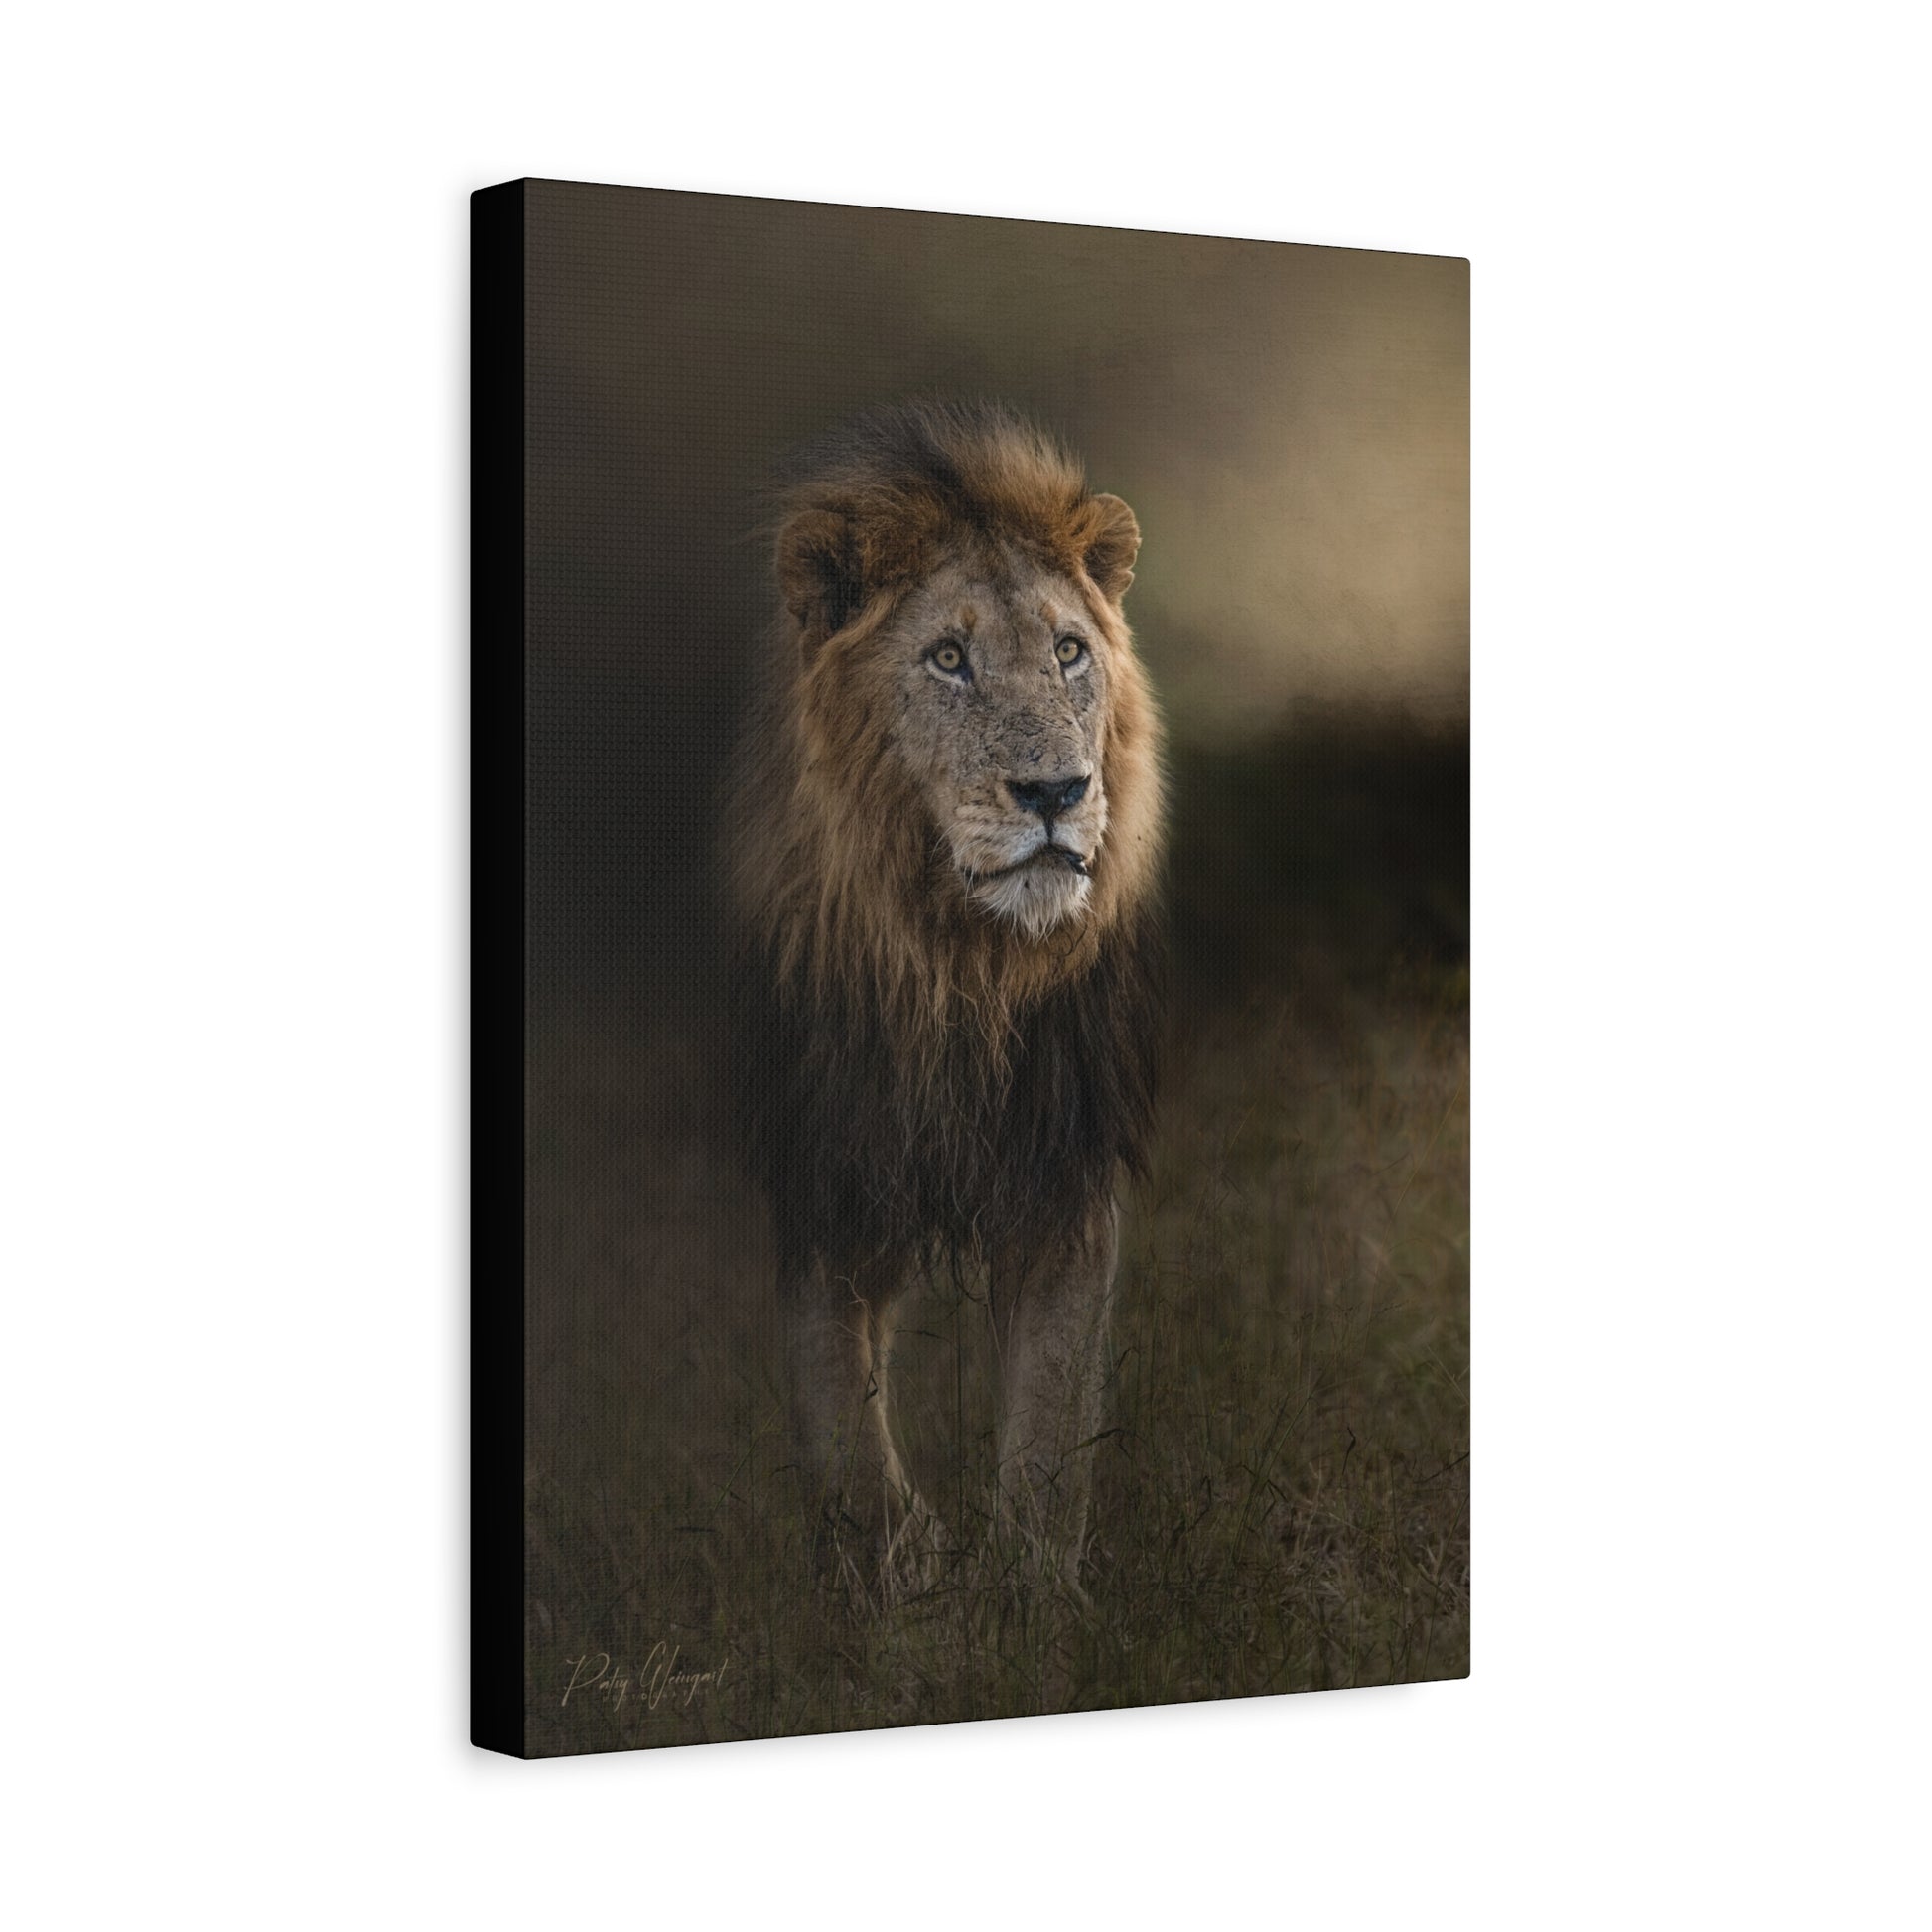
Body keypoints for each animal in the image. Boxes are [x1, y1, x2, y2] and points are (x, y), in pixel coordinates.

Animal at [725, 400, 1166, 1597]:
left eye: (1068, 650)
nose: (1056, 792)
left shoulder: (1062, 1175)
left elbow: (1049, 1428)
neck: (954, 971)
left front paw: (1032, 1598)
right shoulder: (816, 1175)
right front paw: (906, 1580)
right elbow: (841, 1416)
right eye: (948, 658)